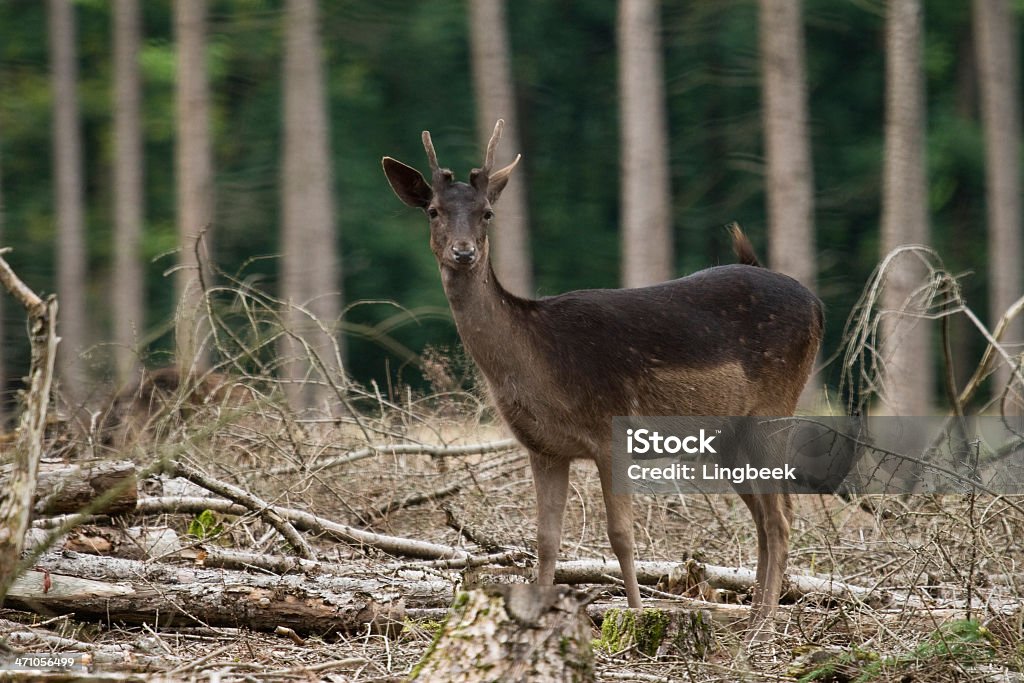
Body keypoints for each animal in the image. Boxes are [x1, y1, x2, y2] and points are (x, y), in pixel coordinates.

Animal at [385, 120, 823, 634]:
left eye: (487, 212)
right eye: (433, 211)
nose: (463, 251)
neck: (536, 363)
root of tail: (816, 304)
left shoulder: (610, 431)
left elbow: (620, 536)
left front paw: (635, 616)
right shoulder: (543, 448)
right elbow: (545, 540)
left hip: (775, 404)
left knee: (780, 516)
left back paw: (764, 625)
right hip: (726, 436)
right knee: (764, 515)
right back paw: (752, 613)